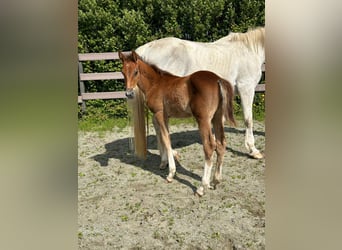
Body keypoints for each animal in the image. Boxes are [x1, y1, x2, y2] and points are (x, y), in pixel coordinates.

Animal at [136, 26, 264, 158]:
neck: (249, 50)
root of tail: (145, 49)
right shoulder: (246, 88)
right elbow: (248, 119)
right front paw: (253, 150)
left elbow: (220, 120)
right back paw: (170, 154)